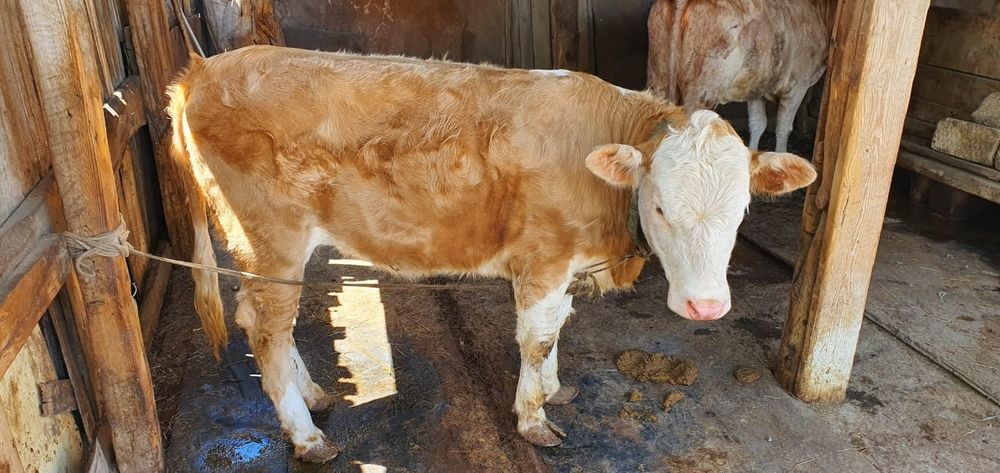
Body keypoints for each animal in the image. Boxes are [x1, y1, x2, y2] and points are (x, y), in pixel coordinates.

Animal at [168, 45, 816, 462]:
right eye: (659, 207)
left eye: (743, 210)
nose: (706, 307)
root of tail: (205, 69)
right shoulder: (545, 257)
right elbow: (537, 336)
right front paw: (533, 419)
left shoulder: (558, 264)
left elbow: (557, 327)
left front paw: (552, 388)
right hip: (272, 239)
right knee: (269, 330)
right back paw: (307, 437)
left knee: (256, 318)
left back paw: (316, 395)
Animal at [647, 0, 829, 153]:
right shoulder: (799, 84)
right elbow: (783, 128)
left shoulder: (756, 87)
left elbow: (758, 123)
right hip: (700, 93)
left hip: (659, 79)